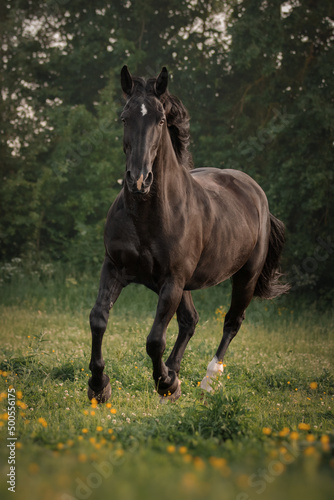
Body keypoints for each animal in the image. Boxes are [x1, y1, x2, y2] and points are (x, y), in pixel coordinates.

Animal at [87, 65, 288, 402]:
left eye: (161, 119)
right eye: (124, 117)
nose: (138, 180)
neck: (148, 216)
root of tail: (256, 193)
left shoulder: (173, 280)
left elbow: (155, 339)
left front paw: (165, 383)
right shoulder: (115, 267)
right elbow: (99, 319)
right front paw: (99, 385)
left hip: (244, 277)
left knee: (231, 322)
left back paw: (207, 380)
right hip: (182, 285)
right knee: (190, 321)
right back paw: (174, 373)